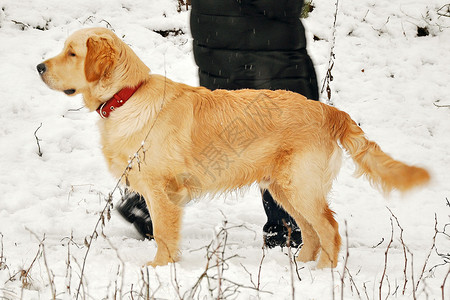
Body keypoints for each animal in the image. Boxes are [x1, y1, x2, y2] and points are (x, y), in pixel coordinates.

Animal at [37, 27, 430, 268]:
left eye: (71, 53)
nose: (39, 66)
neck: (127, 95)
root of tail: (330, 110)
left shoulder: (161, 190)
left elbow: (163, 233)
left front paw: (159, 268)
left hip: (298, 185)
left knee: (330, 230)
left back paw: (324, 275)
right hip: (284, 188)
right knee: (311, 232)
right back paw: (302, 266)